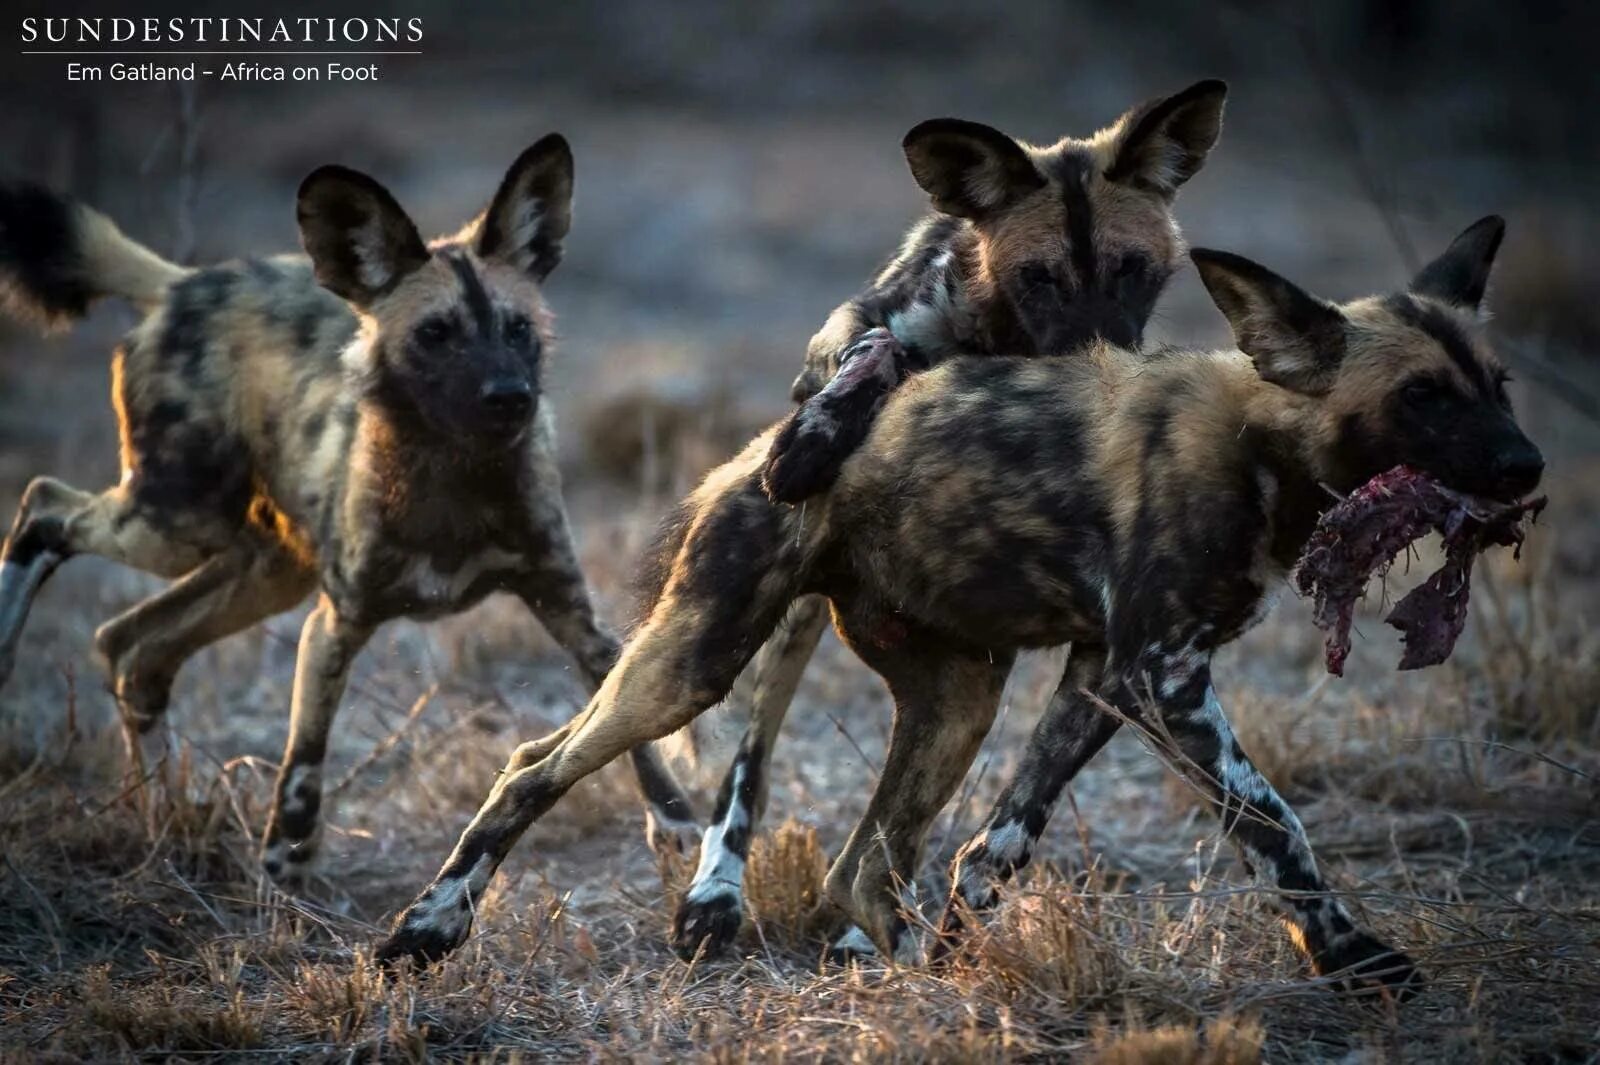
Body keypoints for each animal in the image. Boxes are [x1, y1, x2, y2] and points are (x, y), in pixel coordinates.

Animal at [0, 136, 694, 876]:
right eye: (436, 333)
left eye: (518, 329)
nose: (511, 396)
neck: (456, 477)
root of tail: (181, 284)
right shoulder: (336, 624)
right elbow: (304, 758)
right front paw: (283, 866)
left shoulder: (569, 609)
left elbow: (629, 728)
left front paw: (675, 822)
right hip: (177, 521)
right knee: (45, 506)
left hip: (262, 569)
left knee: (133, 647)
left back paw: (164, 808)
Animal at [377, 215, 1536, 997]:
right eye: (1421, 397)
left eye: (1502, 384)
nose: (1527, 468)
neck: (1260, 442)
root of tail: (768, 435)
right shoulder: (1166, 676)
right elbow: (1273, 822)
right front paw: (1353, 957)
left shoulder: (1107, 675)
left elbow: (1001, 839)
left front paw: (955, 954)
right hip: (691, 663)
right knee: (534, 766)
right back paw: (423, 933)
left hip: (957, 702)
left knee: (863, 865)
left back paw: (883, 972)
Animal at [668, 74, 1228, 953]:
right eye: (1040, 278)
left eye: (1133, 269)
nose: (1098, 368)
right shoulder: (852, 341)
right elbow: (878, 349)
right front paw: (815, 434)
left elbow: (1019, 808)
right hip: (784, 609)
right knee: (750, 755)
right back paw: (715, 893)